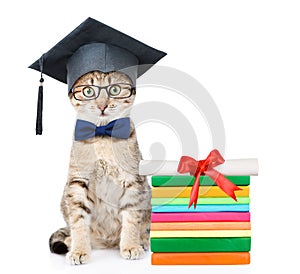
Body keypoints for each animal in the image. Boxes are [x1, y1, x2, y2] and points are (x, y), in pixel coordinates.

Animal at [49, 71, 152, 266]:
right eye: (89, 91)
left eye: (115, 89)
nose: (102, 105)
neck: (103, 134)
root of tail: (108, 241)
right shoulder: (78, 182)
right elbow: (78, 221)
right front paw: (79, 249)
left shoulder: (133, 181)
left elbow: (131, 219)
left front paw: (130, 245)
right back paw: (71, 242)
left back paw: (141, 240)